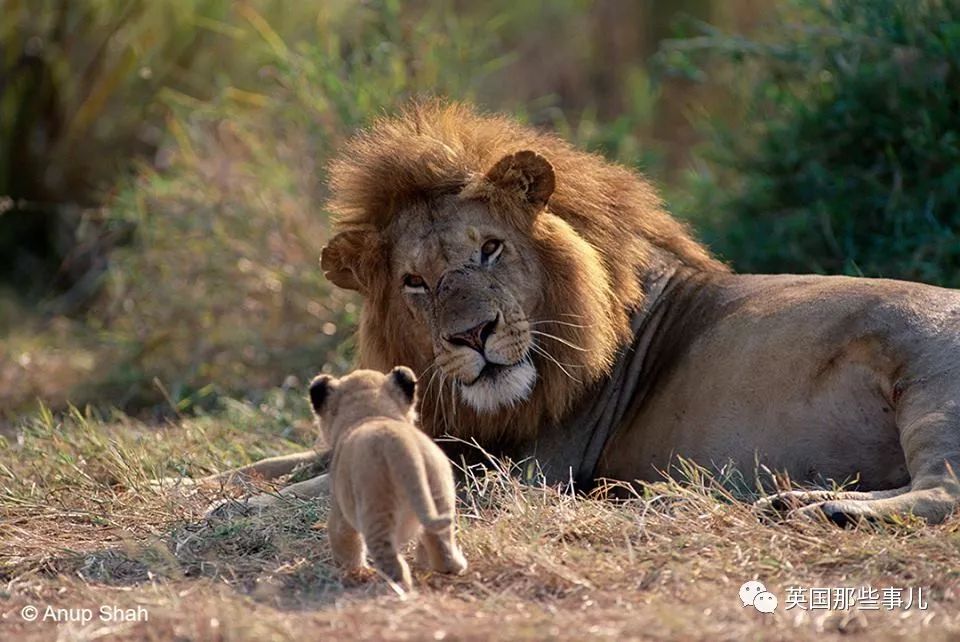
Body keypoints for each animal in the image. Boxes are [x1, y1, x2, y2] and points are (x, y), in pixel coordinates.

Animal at [223, 100, 960, 520]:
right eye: (415, 282)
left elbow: (328, 476)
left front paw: (242, 507)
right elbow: (289, 458)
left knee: (943, 492)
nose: (474, 334)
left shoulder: (524, 469)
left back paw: (817, 510)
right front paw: (215, 482)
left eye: (490, 248)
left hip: (931, 386)